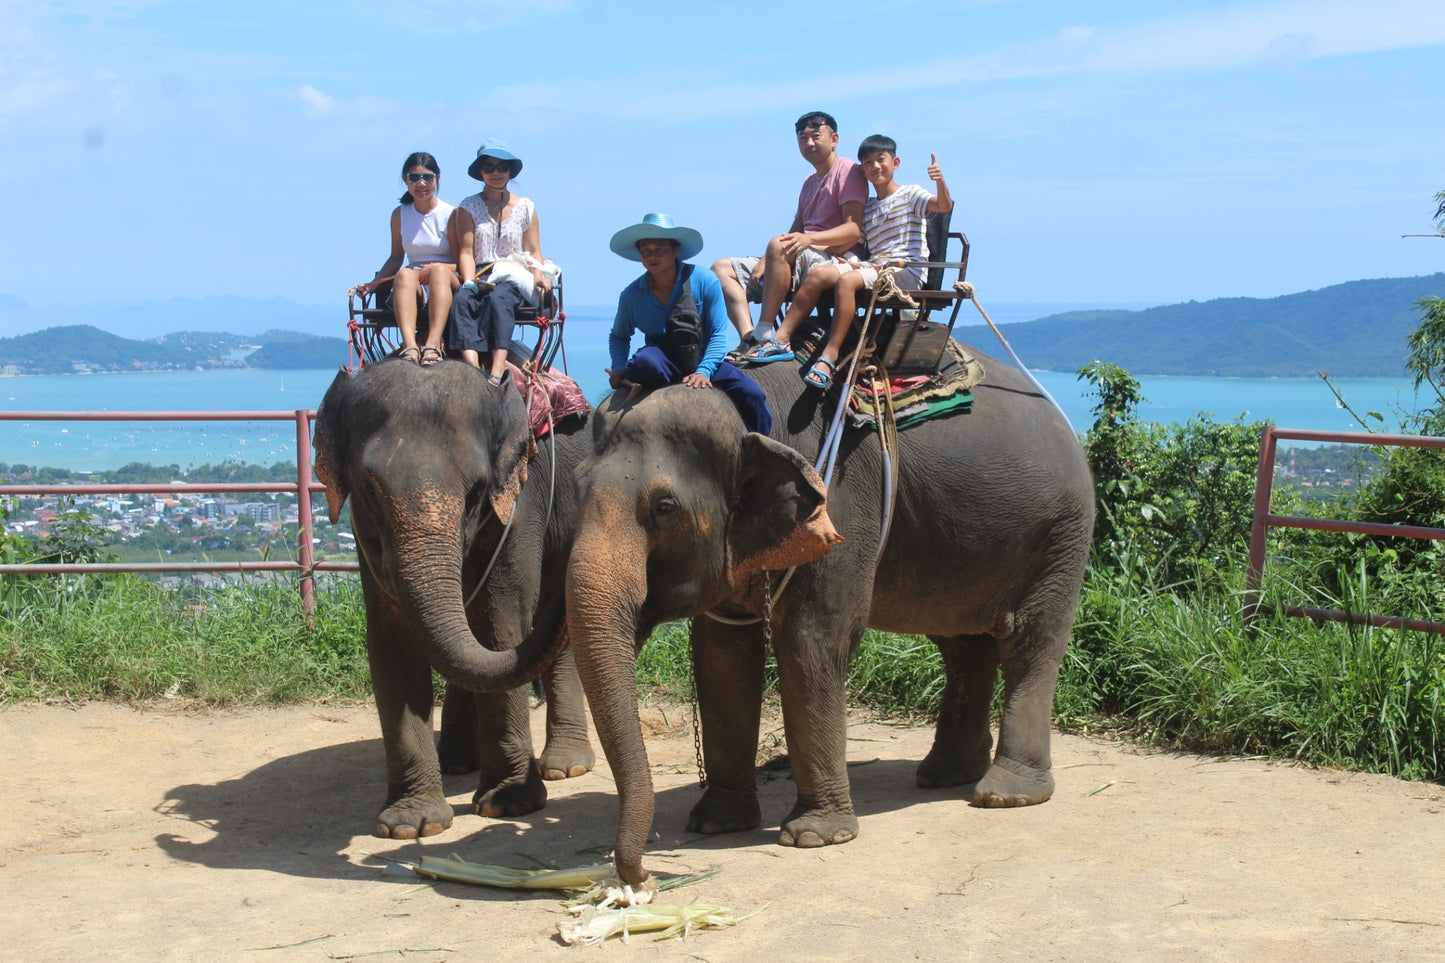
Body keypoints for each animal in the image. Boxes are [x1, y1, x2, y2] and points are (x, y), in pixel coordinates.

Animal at [312, 355, 592, 838]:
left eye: (477, 490)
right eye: (368, 490)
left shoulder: (518, 504)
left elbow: (502, 625)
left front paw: (509, 806)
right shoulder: (367, 540)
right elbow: (390, 640)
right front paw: (411, 826)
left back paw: (566, 767)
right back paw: (457, 763)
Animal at [563, 341, 1092, 879]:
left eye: (664, 509)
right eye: (576, 487)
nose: (644, 874)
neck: (749, 414)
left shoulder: (837, 506)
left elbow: (812, 643)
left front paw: (815, 836)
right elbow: (722, 655)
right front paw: (717, 824)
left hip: (1061, 534)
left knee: (1031, 641)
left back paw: (1006, 793)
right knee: (962, 647)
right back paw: (945, 775)